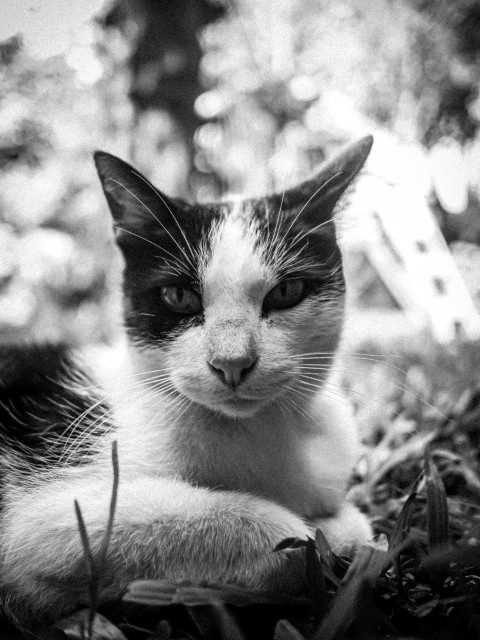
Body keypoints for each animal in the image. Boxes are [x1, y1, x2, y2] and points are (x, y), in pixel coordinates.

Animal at [0, 134, 374, 624]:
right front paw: (315, 536)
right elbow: (275, 536)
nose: (232, 361)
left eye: (287, 292)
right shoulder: (38, 518)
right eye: (178, 296)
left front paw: (340, 532)